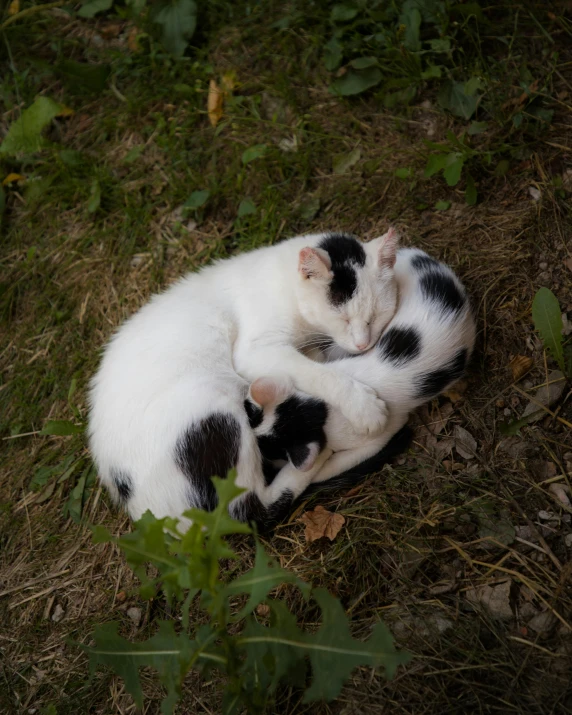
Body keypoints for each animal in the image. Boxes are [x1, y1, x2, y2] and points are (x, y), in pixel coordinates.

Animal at [88, 229, 398, 524]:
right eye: (344, 319)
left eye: (376, 316)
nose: (363, 345)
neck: (283, 283)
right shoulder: (255, 351)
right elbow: (315, 373)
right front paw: (363, 407)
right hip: (215, 410)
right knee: (253, 509)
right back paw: (315, 458)